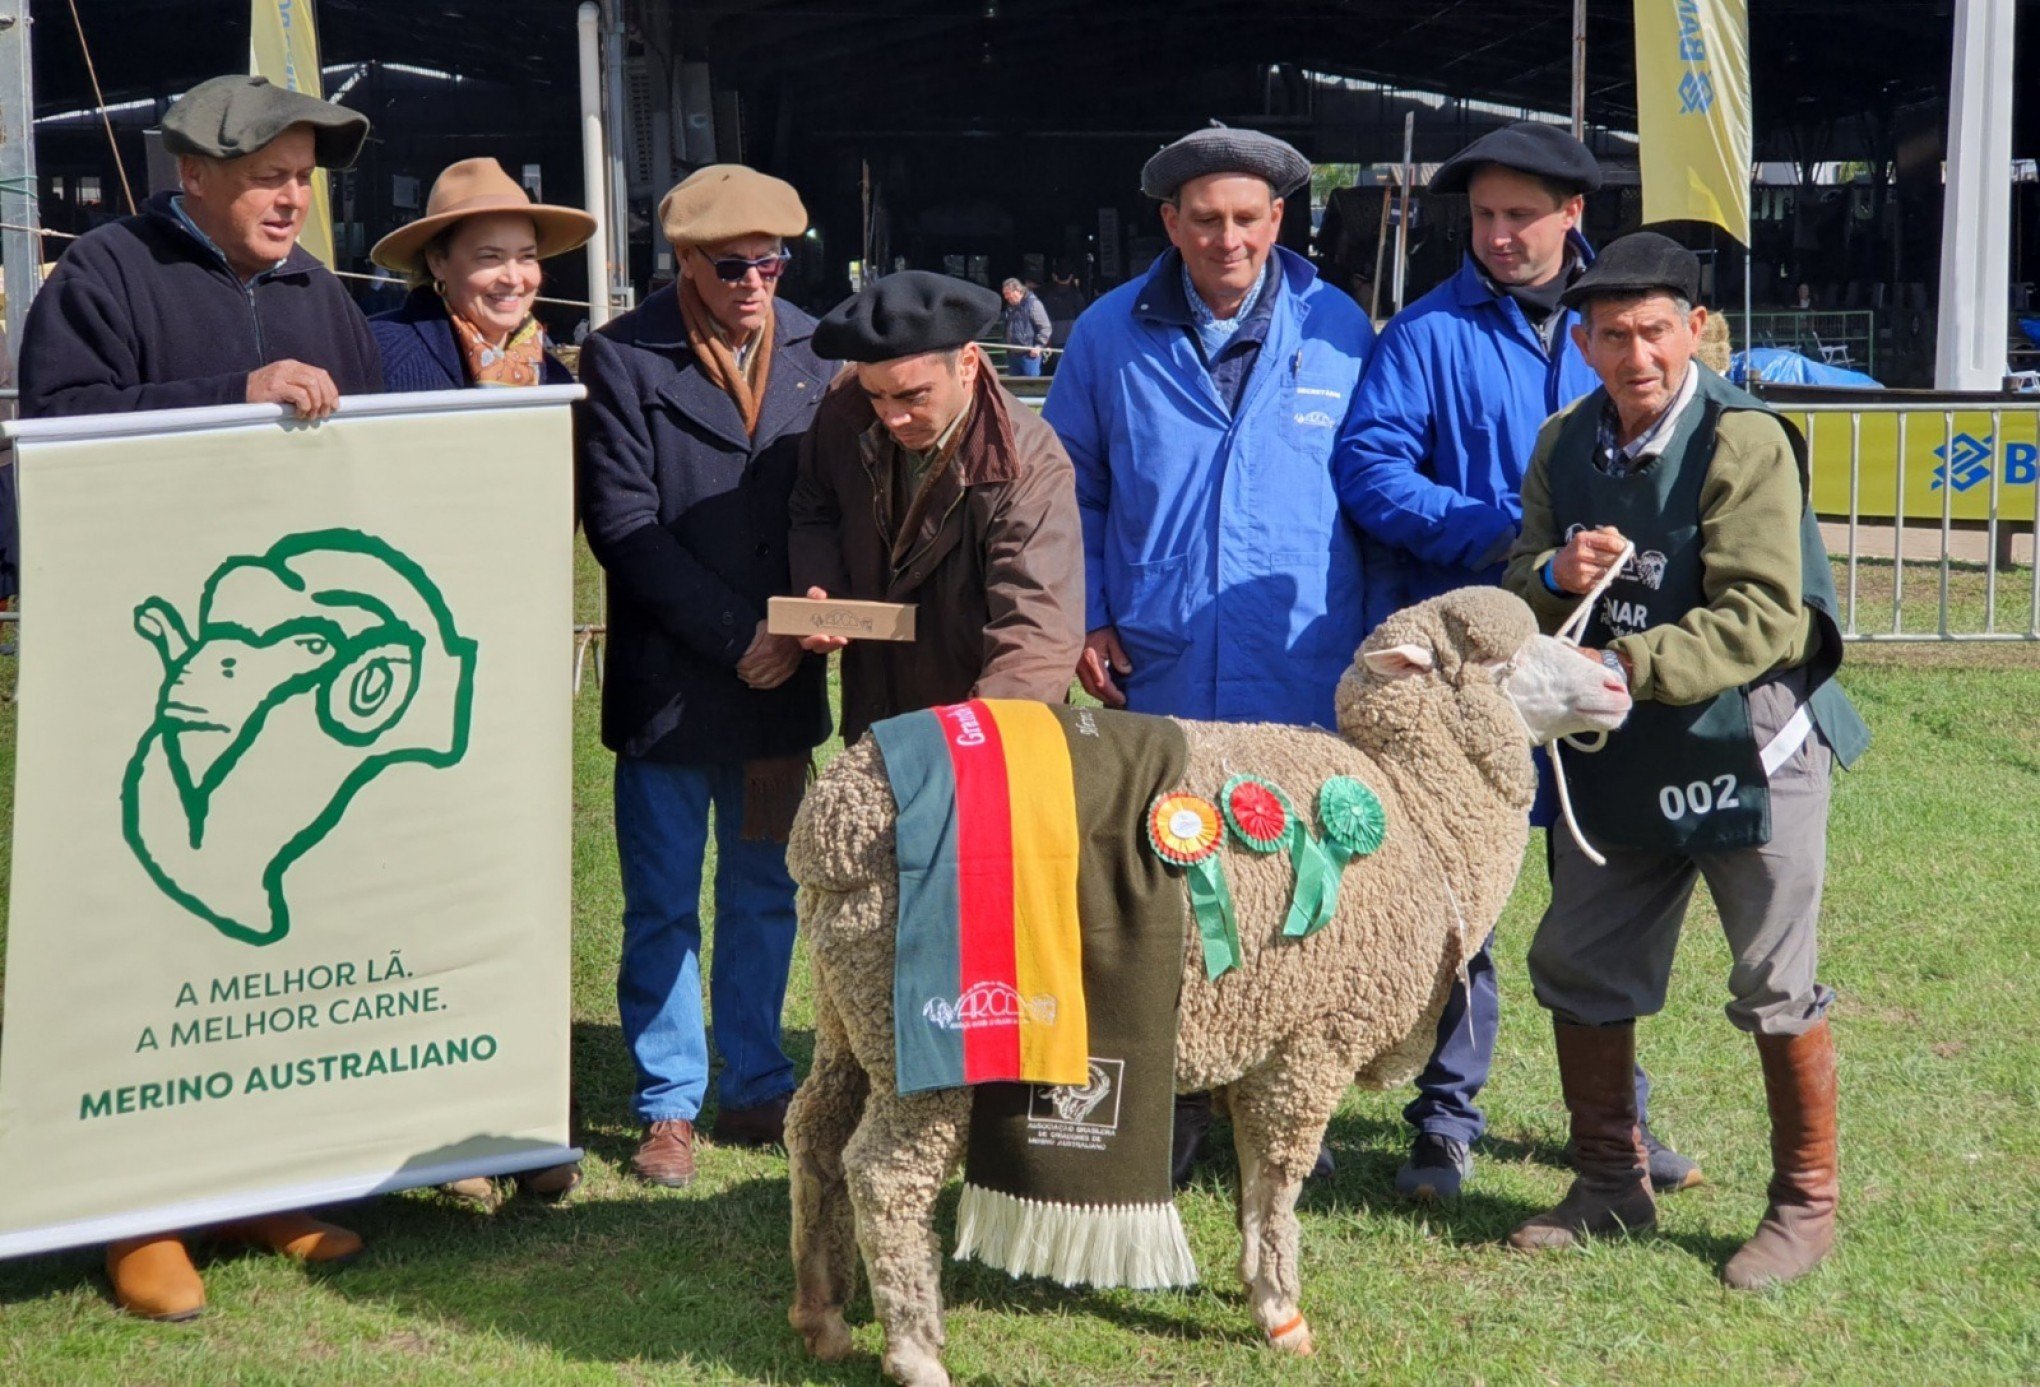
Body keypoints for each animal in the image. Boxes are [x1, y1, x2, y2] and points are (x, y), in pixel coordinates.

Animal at [787, 587, 1632, 1387]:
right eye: (1503, 662)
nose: (1617, 678)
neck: (1418, 814)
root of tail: (834, 822)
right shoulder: (1314, 1040)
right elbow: (1280, 1177)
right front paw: (1281, 1309)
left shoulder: (1264, 1037)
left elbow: (1256, 1179)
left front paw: (1254, 1274)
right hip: (933, 1038)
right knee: (888, 1175)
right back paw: (914, 1350)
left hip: (851, 1005)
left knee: (815, 1131)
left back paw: (821, 1312)